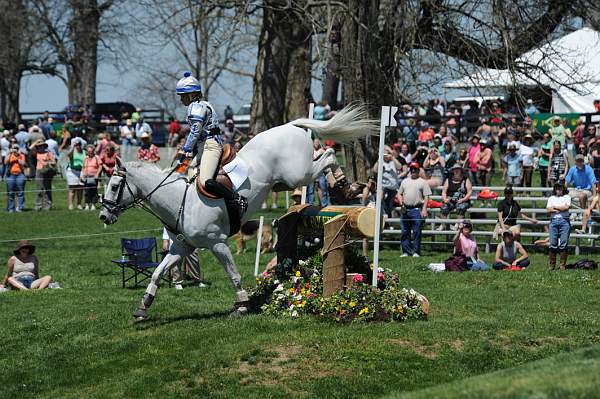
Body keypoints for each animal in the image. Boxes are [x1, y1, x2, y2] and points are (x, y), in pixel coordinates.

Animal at [101, 104, 378, 320]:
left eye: (114, 186)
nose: (104, 216)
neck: (181, 202)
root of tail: (290, 125)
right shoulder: (182, 246)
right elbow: (158, 272)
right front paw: (143, 307)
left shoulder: (217, 243)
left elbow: (233, 273)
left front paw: (242, 304)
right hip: (287, 180)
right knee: (325, 157)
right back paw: (346, 186)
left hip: (298, 173)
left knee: (328, 154)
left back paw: (346, 185)